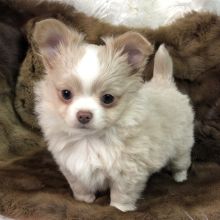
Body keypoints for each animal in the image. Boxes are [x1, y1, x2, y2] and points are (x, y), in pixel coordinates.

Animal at [33, 19, 194, 212]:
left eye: (107, 98)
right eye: (66, 94)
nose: (84, 115)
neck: (89, 140)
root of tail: (163, 82)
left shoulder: (128, 172)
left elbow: (121, 194)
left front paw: (119, 209)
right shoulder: (72, 167)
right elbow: (80, 187)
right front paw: (83, 201)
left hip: (182, 145)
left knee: (181, 162)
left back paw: (180, 178)